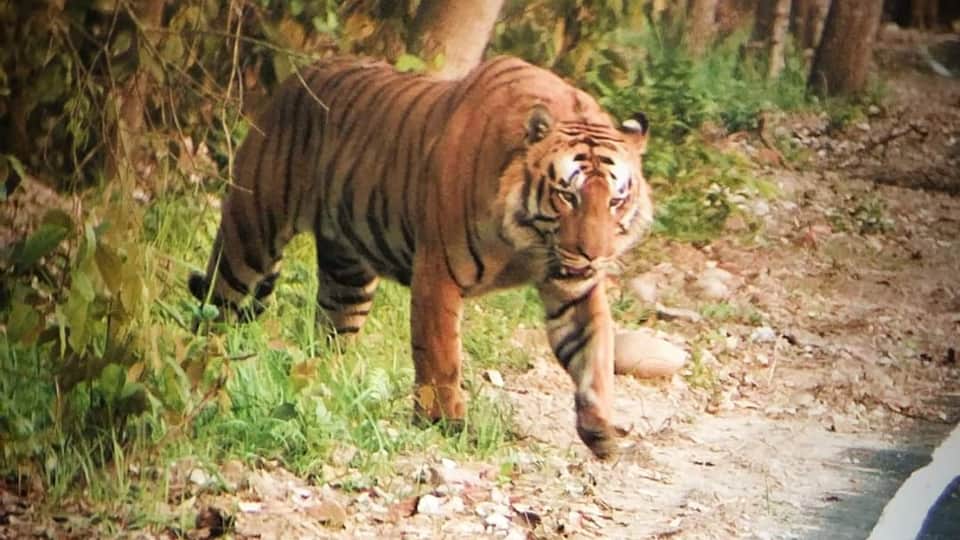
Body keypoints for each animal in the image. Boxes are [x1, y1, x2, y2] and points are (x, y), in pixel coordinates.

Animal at [188, 55, 653, 459]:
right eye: (567, 195)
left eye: (616, 200)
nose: (593, 255)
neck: (529, 241)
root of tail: (295, 78)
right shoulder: (438, 274)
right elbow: (440, 357)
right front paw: (445, 423)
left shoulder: (575, 290)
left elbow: (595, 354)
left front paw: (600, 429)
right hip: (250, 234)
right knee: (215, 306)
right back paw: (200, 369)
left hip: (348, 275)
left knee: (327, 336)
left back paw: (319, 385)